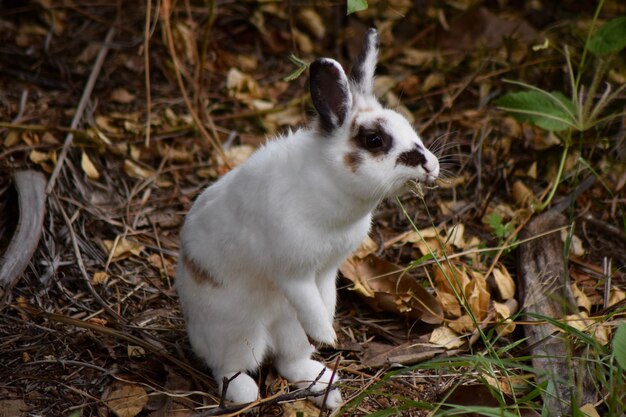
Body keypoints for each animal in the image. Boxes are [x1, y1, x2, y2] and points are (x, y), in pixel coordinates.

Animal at [176, 29, 438, 410]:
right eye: (374, 140)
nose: (430, 165)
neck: (327, 181)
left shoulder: (327, 271)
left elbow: (325, 301)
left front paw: (328, 333)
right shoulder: (294, 274)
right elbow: (310, 304)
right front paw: (328, 335)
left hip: (287, 327)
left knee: (289, 360)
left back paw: (325, 387)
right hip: (236, 334)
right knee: (229, 369)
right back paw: (246, 394)